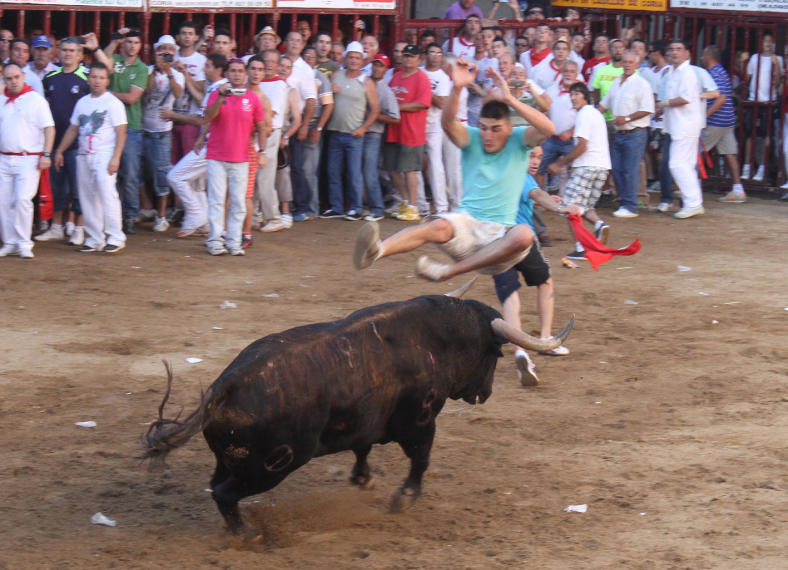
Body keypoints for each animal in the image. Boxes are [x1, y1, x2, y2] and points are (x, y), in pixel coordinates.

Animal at [143, 292, 572, 532]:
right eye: (495, 354)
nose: (485, 393)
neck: (439, 339)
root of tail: (221, 389)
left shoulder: (363, 421)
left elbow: (362, 447)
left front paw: (363, 479)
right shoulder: (421, 422)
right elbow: (421, 460)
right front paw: (405, 498)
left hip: (232, 460)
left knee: (216, 486)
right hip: (270, 467)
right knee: (224, 494)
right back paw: (248, 536)